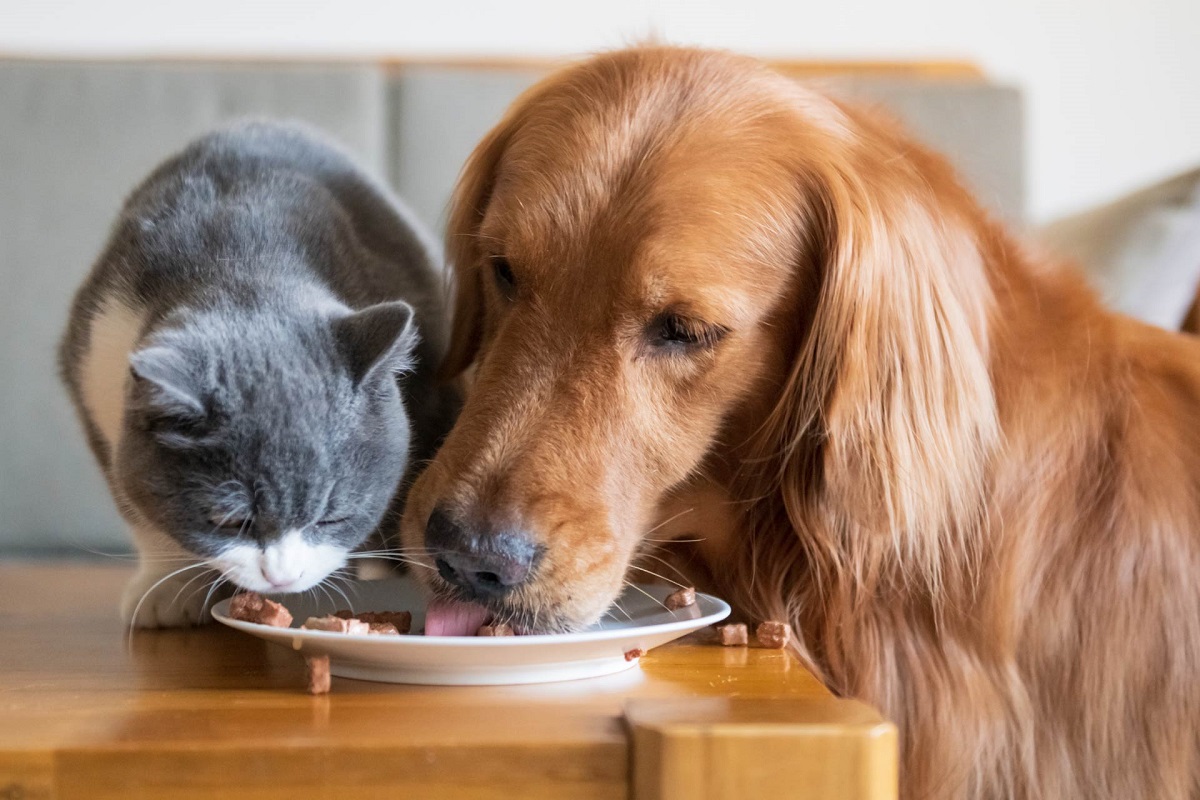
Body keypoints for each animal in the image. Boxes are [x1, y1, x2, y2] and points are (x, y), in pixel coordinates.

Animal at [59, 122, 458, 628]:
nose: (281, 578)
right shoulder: (95, 363)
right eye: (230, 521)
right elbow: (137, 502)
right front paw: (166, 587)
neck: (240, 258)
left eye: (332, 517)